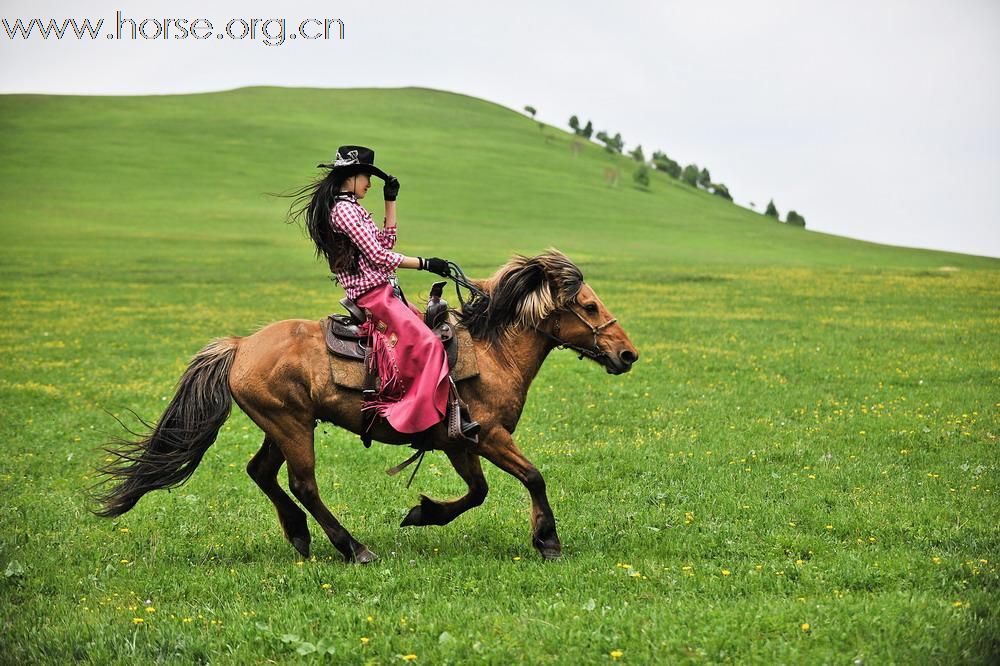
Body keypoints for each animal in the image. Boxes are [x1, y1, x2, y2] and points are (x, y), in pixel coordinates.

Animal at [95, 249, 640, 560]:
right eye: (589, 306)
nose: (627, 354)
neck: (492, 352)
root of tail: (241, 344)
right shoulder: (487, 435)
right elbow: (532, 476)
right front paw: (547, 541)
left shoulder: (459, 443)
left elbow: (478, 492)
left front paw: (423, 513)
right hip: (293, 426)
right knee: (304, 484)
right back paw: (353, 547)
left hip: (282, 424)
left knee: (261, 473)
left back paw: (299, 535)